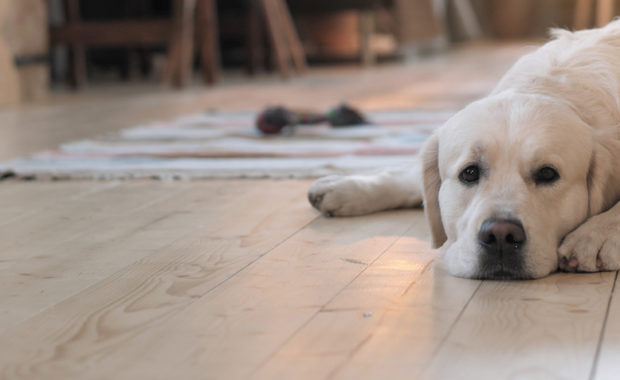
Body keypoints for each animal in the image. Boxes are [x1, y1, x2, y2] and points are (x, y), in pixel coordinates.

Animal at [310, 20, 620, 280]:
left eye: (547, 174)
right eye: (469, 173)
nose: (500, 235)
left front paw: (596, 235)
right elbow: (413, 177)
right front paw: (348, 186)